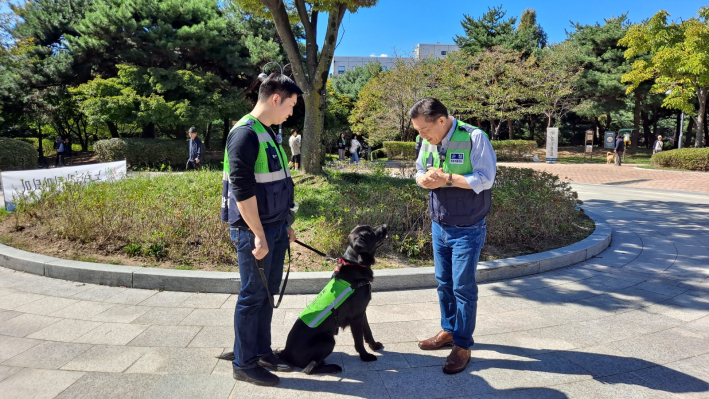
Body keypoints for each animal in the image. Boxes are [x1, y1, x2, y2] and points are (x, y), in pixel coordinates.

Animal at [220, 225, 388, 376]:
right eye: (371, 232)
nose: (386, 226)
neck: (355, 263)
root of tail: (285, 353)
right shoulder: (356, 316)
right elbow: (359, 340)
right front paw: (366, 356)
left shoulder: (363, 312)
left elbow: (368, 332)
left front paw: (374, 346)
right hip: (328, 340)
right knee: (308, 369)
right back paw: (332, 368)